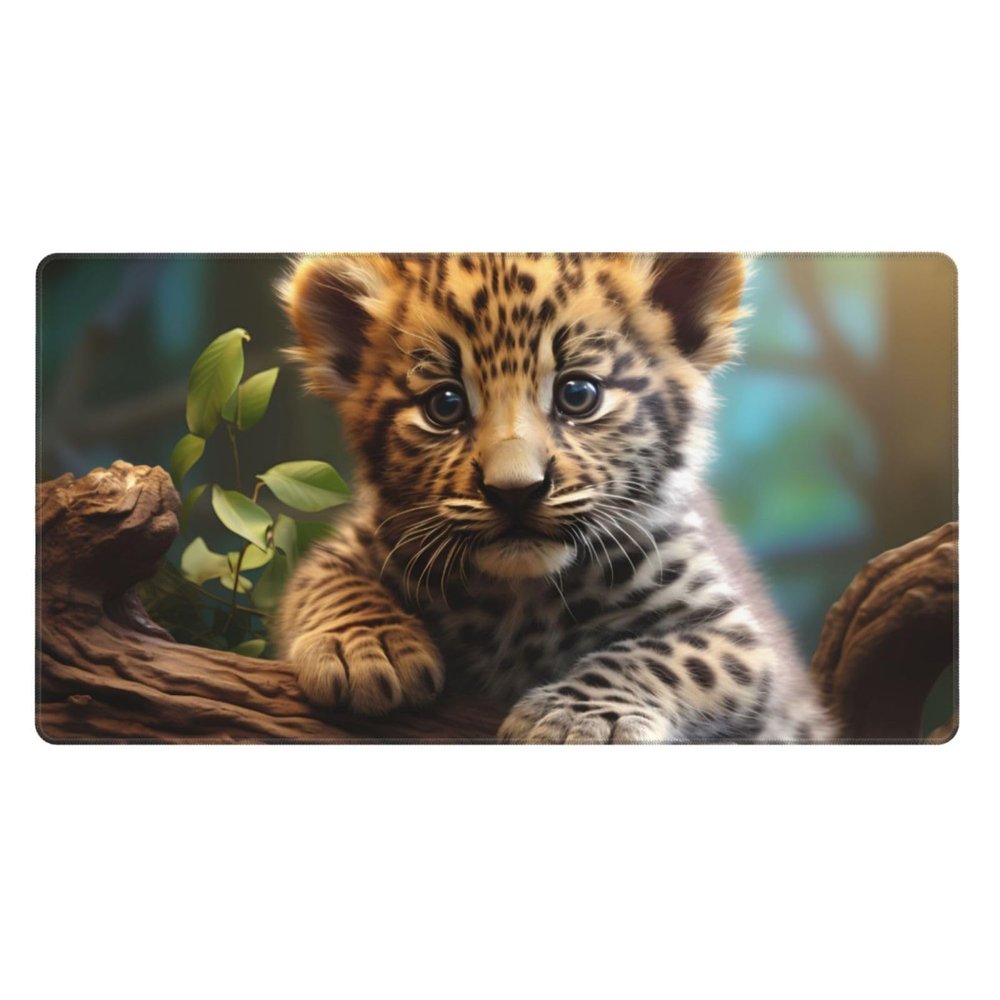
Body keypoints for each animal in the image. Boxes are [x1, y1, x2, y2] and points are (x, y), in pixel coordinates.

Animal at [273, 252, 836, 743]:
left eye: (578, 395)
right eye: (445, 405)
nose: (514, 491)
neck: (519, 599)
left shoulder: (734, 634)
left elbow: (664, 658)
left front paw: (575, 720)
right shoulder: (359, 540)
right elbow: (327, 578)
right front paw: (366, 646)